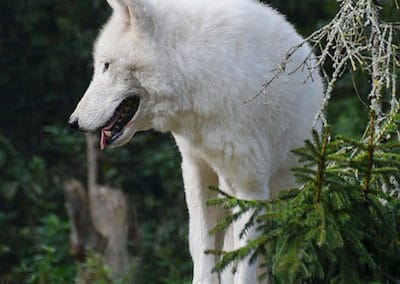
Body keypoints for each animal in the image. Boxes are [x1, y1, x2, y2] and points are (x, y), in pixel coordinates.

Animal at [69, 0, 324, 282]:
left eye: (106, 65)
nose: (73, 121)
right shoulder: (196, 170)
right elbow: (202, 251)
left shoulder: (251, 187)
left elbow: (244, 263)